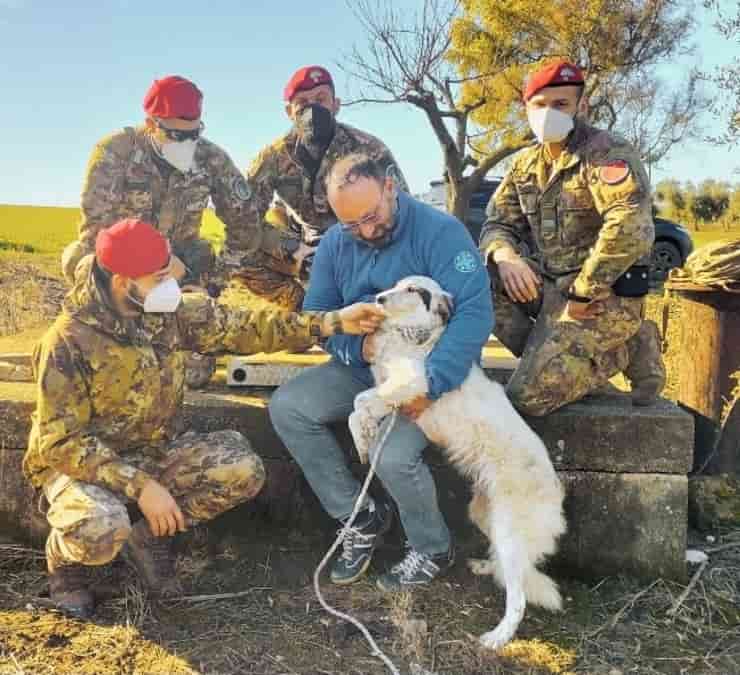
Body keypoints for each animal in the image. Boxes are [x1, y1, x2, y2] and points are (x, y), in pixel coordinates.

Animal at [348, 274, 568, 648]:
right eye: (397, 284)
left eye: (414, 290)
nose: (377, 298)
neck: (415, 335)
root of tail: (556, 495)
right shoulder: (389, 387)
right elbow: (359, 404)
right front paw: (364, 438)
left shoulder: (413, 383)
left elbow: (358, 402)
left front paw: (362, 438)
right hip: (483, 515)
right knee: (512, 571)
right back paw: (486, 567)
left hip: (509, 531)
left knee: (519, 597)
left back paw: (497, 638)